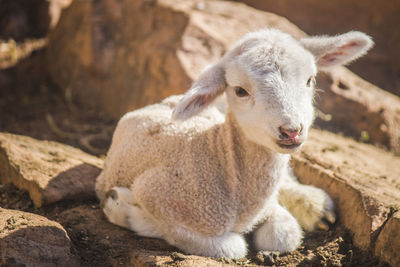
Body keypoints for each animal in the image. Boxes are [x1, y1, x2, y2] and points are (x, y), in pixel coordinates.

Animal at [95, 27, 374, 260]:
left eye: (310, 80)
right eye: (240, 91)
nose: (291, 131)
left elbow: (284, 235)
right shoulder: (153, 192)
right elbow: (232, 247)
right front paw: (123, 208)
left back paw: (317, 207)